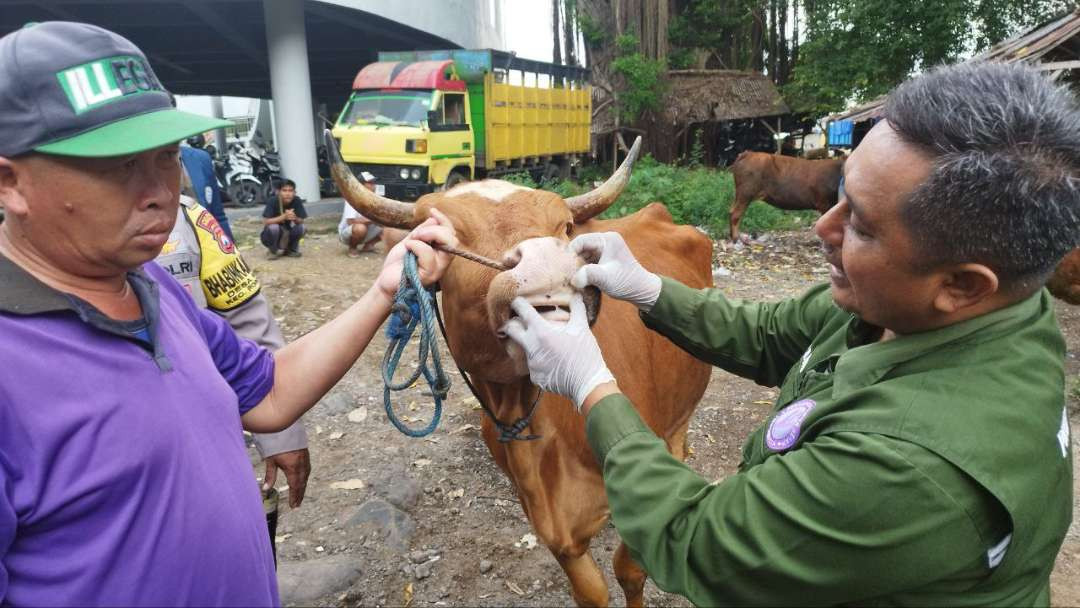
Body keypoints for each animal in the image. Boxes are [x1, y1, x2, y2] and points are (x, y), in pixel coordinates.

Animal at [328, 134, 717, 608]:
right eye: (440, 240)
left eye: (565, 228)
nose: (544, 265)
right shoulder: (555, 530)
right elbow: (591, 591)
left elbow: (630, 571)